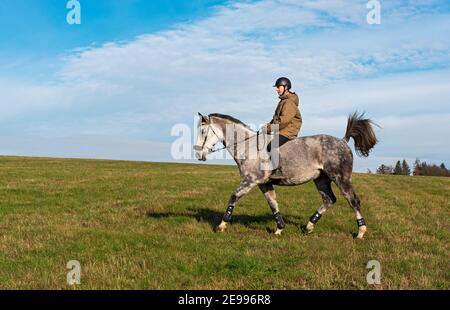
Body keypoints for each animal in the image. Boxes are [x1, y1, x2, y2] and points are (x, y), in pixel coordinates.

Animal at [192, 112, 376, 240]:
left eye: (203, 131)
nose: (198, 154)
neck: (248, 145)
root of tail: (343, 141)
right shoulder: (263, 183)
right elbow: (273, 203)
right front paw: (279, 229)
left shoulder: (251, 180)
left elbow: (233, 197)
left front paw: (222, 225)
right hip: (321, 179)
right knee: (329, 199)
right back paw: (309, 226)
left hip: (340, 178)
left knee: (353, 200)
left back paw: (360, 232)